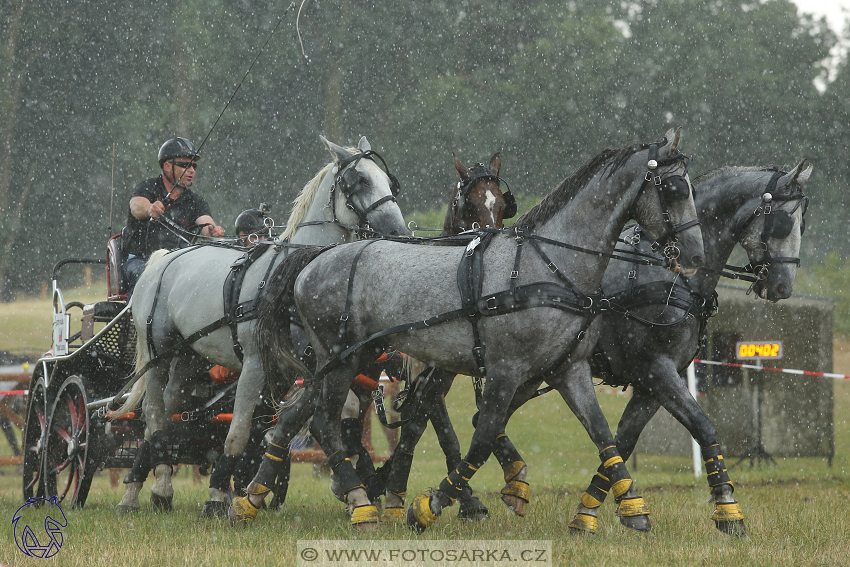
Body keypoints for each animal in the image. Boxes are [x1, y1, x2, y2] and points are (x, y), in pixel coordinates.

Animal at [111, 136, 410, 516]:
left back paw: (161, 485)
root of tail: (163, 258)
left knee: (169, 408)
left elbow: (336, 417)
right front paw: (219, 495)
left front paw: (350, 488)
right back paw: (134, 492)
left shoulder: (314, 366)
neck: (294, 274)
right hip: (157, 352)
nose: (399, 232)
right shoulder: (255, 364)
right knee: (152, 414)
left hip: (189, 356)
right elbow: (238, 432)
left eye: (389, 182)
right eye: (358, 181)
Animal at [230, 127, 704, 532]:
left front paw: (631, 508)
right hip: (340, 359)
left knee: (297, 418)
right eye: (673, 189)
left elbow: (603, 434)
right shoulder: (504, 370)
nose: (694, 255)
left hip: (346, 361)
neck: (548, 266)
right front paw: (430, 506)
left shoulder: (568, 369)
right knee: (325, 424)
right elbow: (480, 436)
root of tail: (313, 259)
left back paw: (252, 498)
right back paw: (359, 504)